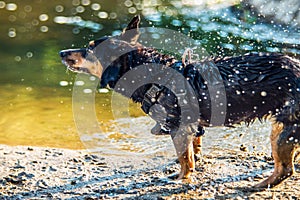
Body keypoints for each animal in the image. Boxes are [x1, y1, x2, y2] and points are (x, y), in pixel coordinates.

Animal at [59, 16, 300, 189]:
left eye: (90, 50)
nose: (62, 52)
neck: (154, 76)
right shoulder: (193, 127)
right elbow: (193, 151)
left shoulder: (180, 128)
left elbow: (186, 160)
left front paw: (181, 178)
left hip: (284, 130)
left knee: (285, 169)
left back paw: (258, 185)